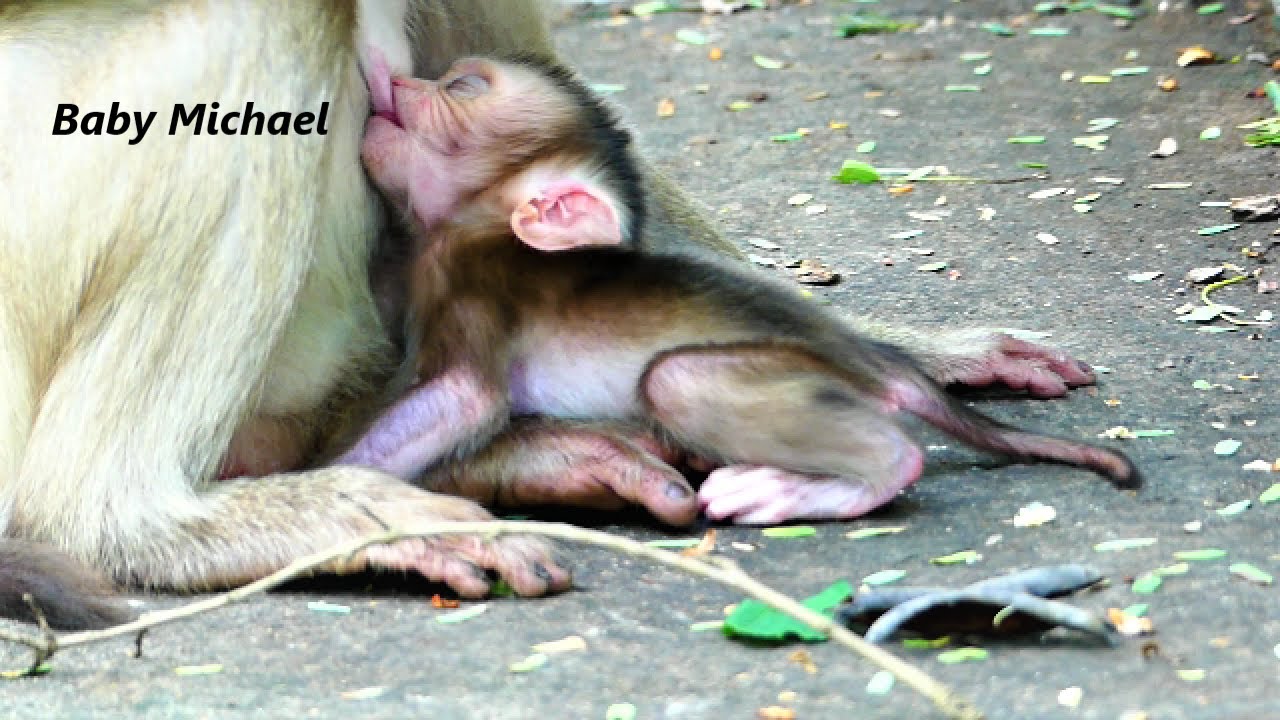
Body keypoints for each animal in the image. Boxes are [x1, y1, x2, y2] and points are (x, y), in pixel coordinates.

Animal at [337, 56, 1139, 528]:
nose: (398, 82)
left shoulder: (474, 291)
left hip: (768, 377)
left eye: (461, 88)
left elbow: (466, 399)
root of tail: (873, 362)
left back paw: (803, 487)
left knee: (690, 383)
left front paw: (331, 491)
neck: (469, 231)